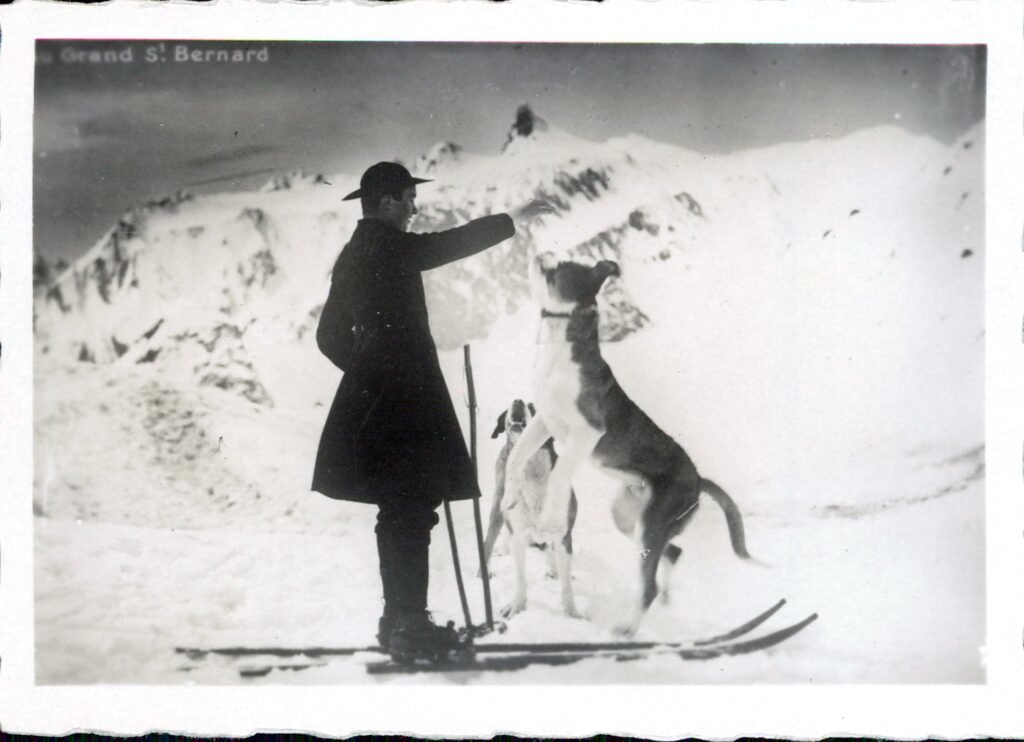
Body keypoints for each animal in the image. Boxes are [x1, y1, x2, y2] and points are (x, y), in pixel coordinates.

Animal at [485, 397, 581, 618]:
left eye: (533, 407)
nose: (518, 401)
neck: (533, 468)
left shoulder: (562, 535)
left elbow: (566, 584)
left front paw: (572, 614)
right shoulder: (518, 534)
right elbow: (520, 577)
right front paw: (517, 606)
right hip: (498, 505)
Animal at [505, 252, 753, 630]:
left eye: (561, 266)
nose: (540, 253)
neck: (560, 348)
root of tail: (698, 479)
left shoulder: (587, 430)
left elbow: (559, 474)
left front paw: (548, 518)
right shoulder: (544, 421)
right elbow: (516, 456)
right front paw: (508, 496)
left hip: (652, 523)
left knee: (649, 584)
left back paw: (626, 629)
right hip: (628, 517)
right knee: (673, 552)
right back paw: (662, 603)